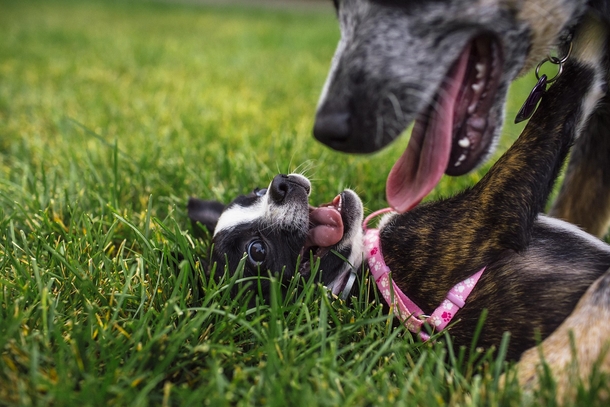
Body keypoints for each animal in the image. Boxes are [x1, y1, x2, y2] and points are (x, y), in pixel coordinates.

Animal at [189, 42, 604, 366]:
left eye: (255, 192)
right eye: (256, 252)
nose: (279, 185)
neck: (362, 270)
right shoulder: (489, 216)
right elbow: (554, 113)